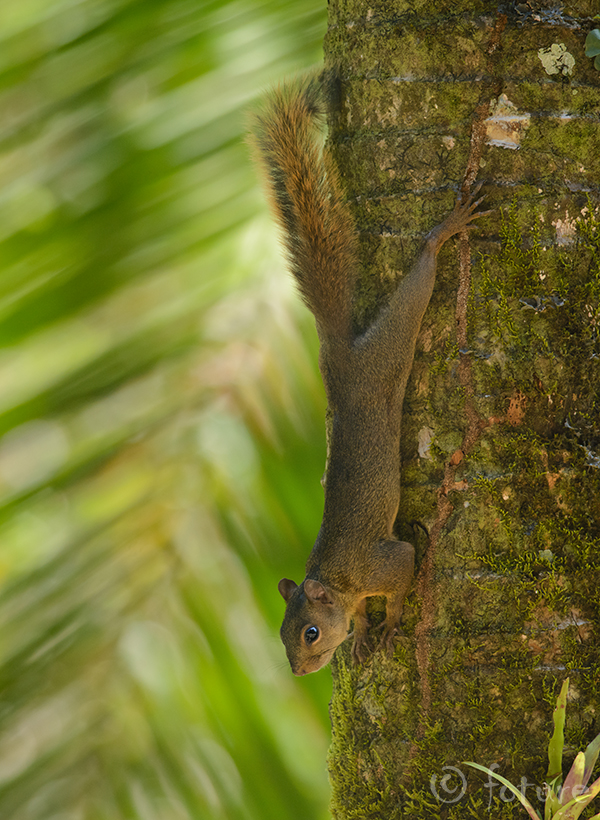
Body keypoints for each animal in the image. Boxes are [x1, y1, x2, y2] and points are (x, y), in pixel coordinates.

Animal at [251, 73, 490, 676]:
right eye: (281, 636)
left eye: (310, 633)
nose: (299, 670)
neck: (337, 580)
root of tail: (338, 353)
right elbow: (360, 616)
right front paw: (361, 634)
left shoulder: (387, 560)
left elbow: (404, 574)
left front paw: (393, 623)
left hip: (387, 350)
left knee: (418, 281)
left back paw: (443, 233)